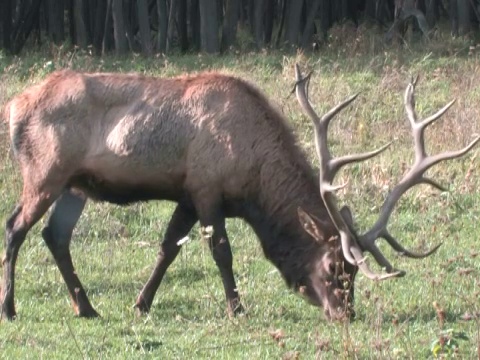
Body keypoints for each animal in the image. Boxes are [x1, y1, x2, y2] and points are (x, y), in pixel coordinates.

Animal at [0, 67, 478, 320]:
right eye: (332, 268)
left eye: (354, 273)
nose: (345, 313)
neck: (254, 184)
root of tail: (14, 106)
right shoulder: (208, 189)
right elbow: (222, 252)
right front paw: (237, 308)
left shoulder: (188, 194)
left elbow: (168, 248)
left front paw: (142, 303)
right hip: (45, 172)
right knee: (15, 227)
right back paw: (10, 308)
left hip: (76, 185)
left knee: (55, 236)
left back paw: (87, 307)